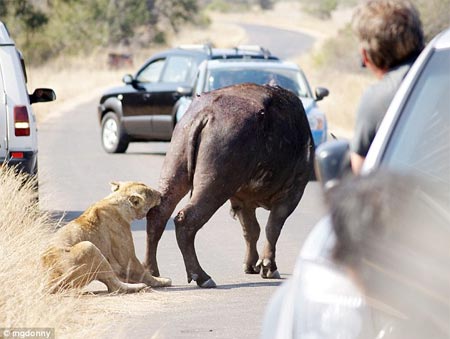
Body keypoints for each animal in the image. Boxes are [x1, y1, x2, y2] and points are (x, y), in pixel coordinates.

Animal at [144, 83, 312, 288]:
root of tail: (205, 113)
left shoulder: (242, 201)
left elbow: (251, 230)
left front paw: (251, 264)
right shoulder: (291, 193)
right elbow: (272, 228)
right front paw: (269, 267)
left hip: (175, 165)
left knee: (158, 213)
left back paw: (151, 272)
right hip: (216, 184)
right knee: (186, 220)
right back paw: (201, 276)